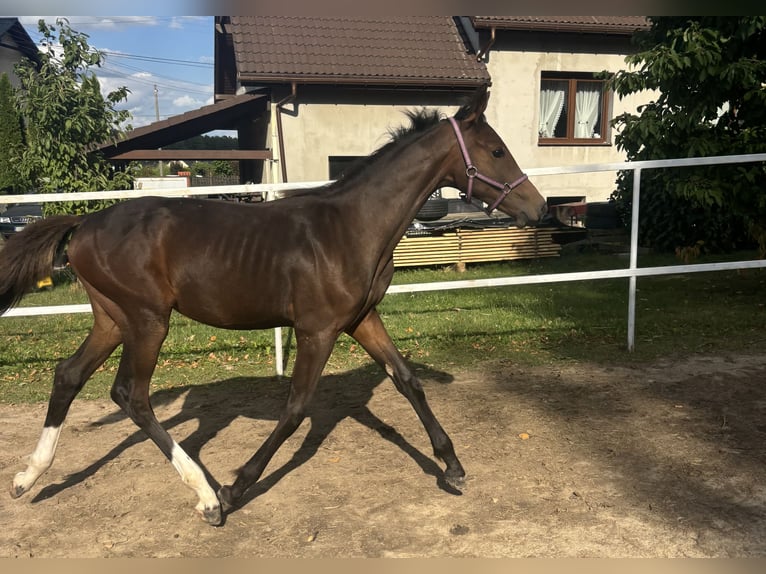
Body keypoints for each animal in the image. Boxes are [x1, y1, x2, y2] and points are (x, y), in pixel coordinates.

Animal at [1, 86, 547, 526]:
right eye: (496, 150)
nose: (539, 207)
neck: (351, 227)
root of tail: (85, 223)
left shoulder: (361, 320)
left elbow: (407, 380)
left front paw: (452, 468)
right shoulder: (318, 330)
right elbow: (297, 408)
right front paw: (234, 487)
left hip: (112, 319)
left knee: (69, 375)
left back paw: (29, 477)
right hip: (147, 321)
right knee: (131, 396)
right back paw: (206, 498)